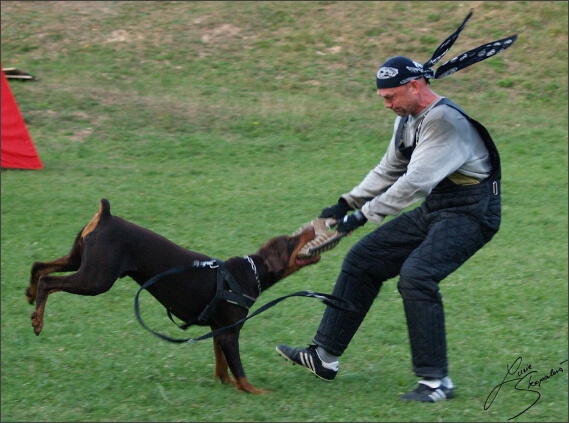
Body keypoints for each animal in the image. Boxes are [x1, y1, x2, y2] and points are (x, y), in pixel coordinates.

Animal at [26, 199, 320, 394]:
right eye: (290, 241)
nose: (312, 228)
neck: (248, 273)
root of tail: (106, 216)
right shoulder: (229, 333)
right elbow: (240, 372)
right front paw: (257, 392)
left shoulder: (217, 330)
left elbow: (222, 367)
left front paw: (225, 384)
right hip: (96, 279)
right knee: (48, 281)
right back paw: (38, 319)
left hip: (81, 261)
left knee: (39, 267)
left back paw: (30, 294)